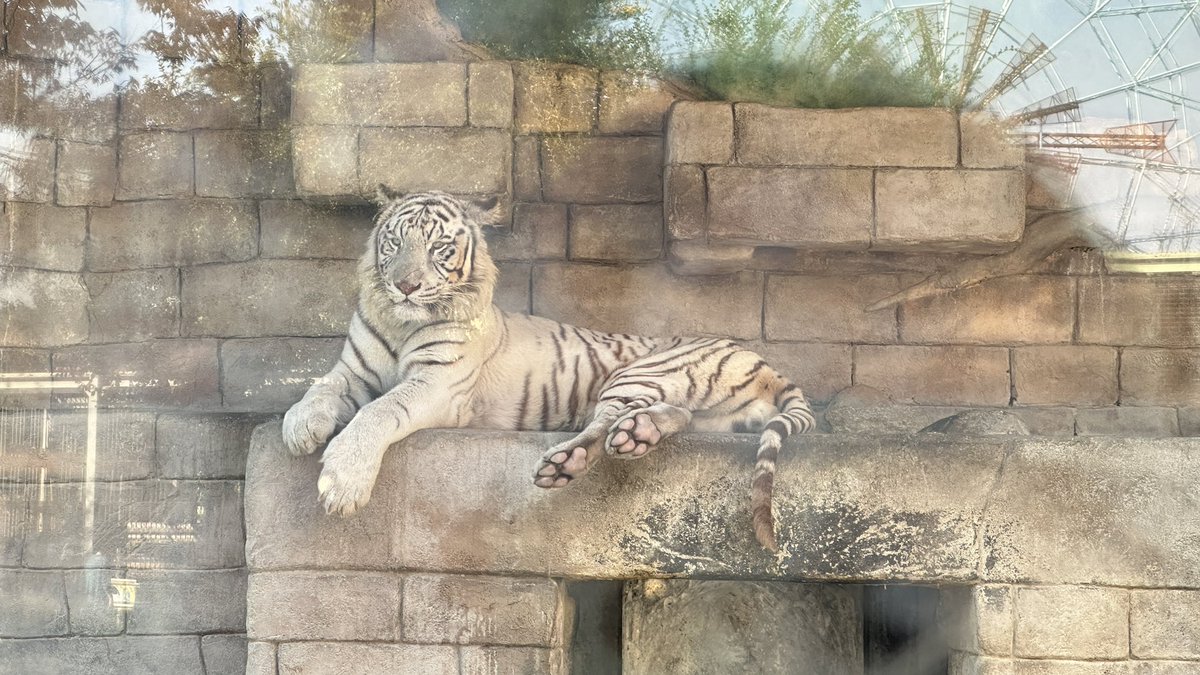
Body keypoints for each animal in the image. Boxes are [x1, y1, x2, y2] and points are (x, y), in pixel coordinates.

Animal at [282, 188, 815, 551]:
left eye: (439, 248)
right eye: (394, 241)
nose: (405, 286)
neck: (399, 324)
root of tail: (764, 361)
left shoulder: (437, 383)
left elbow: (379, 411)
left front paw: (342, 484)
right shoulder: (353, 371)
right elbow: (322, 387)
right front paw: (300, 426)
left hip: (642, 371)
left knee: (605, 423)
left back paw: (568, 462)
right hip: (705, 411)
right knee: (672, 416)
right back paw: (638, 435)